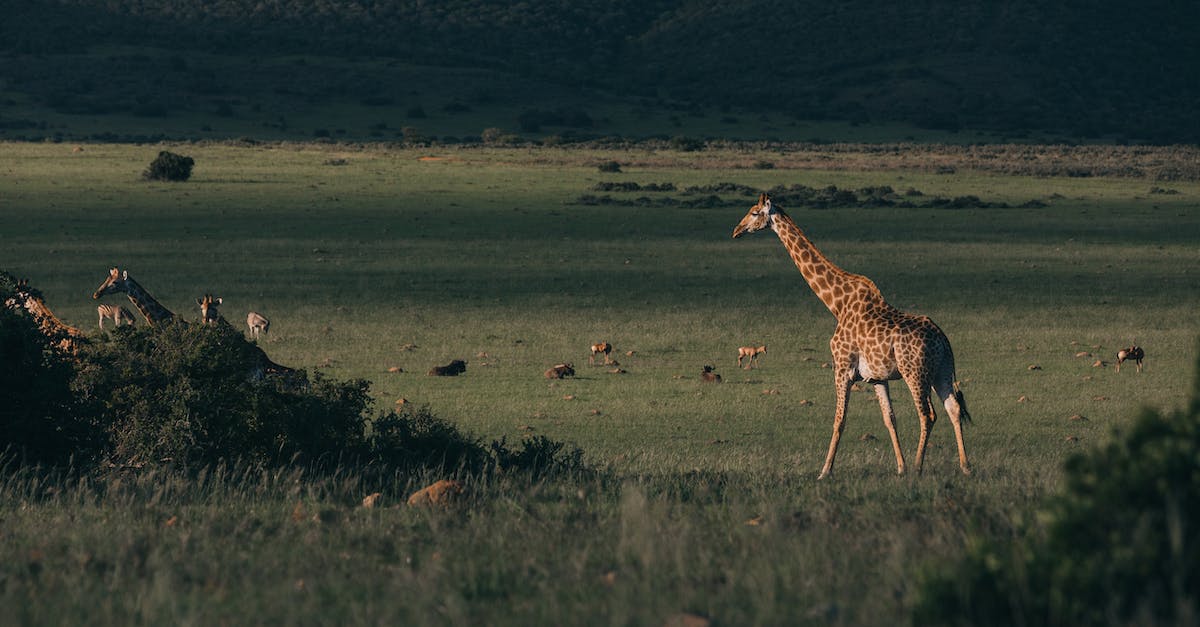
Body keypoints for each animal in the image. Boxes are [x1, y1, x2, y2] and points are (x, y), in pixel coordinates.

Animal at [732, 193, 971, 478]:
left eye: (755, 213)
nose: (736, 230)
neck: (837, 304)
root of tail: (943, 340)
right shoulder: (876, 377)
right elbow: (889, 419)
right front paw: (899, 468)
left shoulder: (842, 367)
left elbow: (839, 420)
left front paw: (824, 471)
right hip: (941, 370)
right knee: (953, 408)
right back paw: (965, 466)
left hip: (915, 372)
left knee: (927, 414)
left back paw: (918, 467)